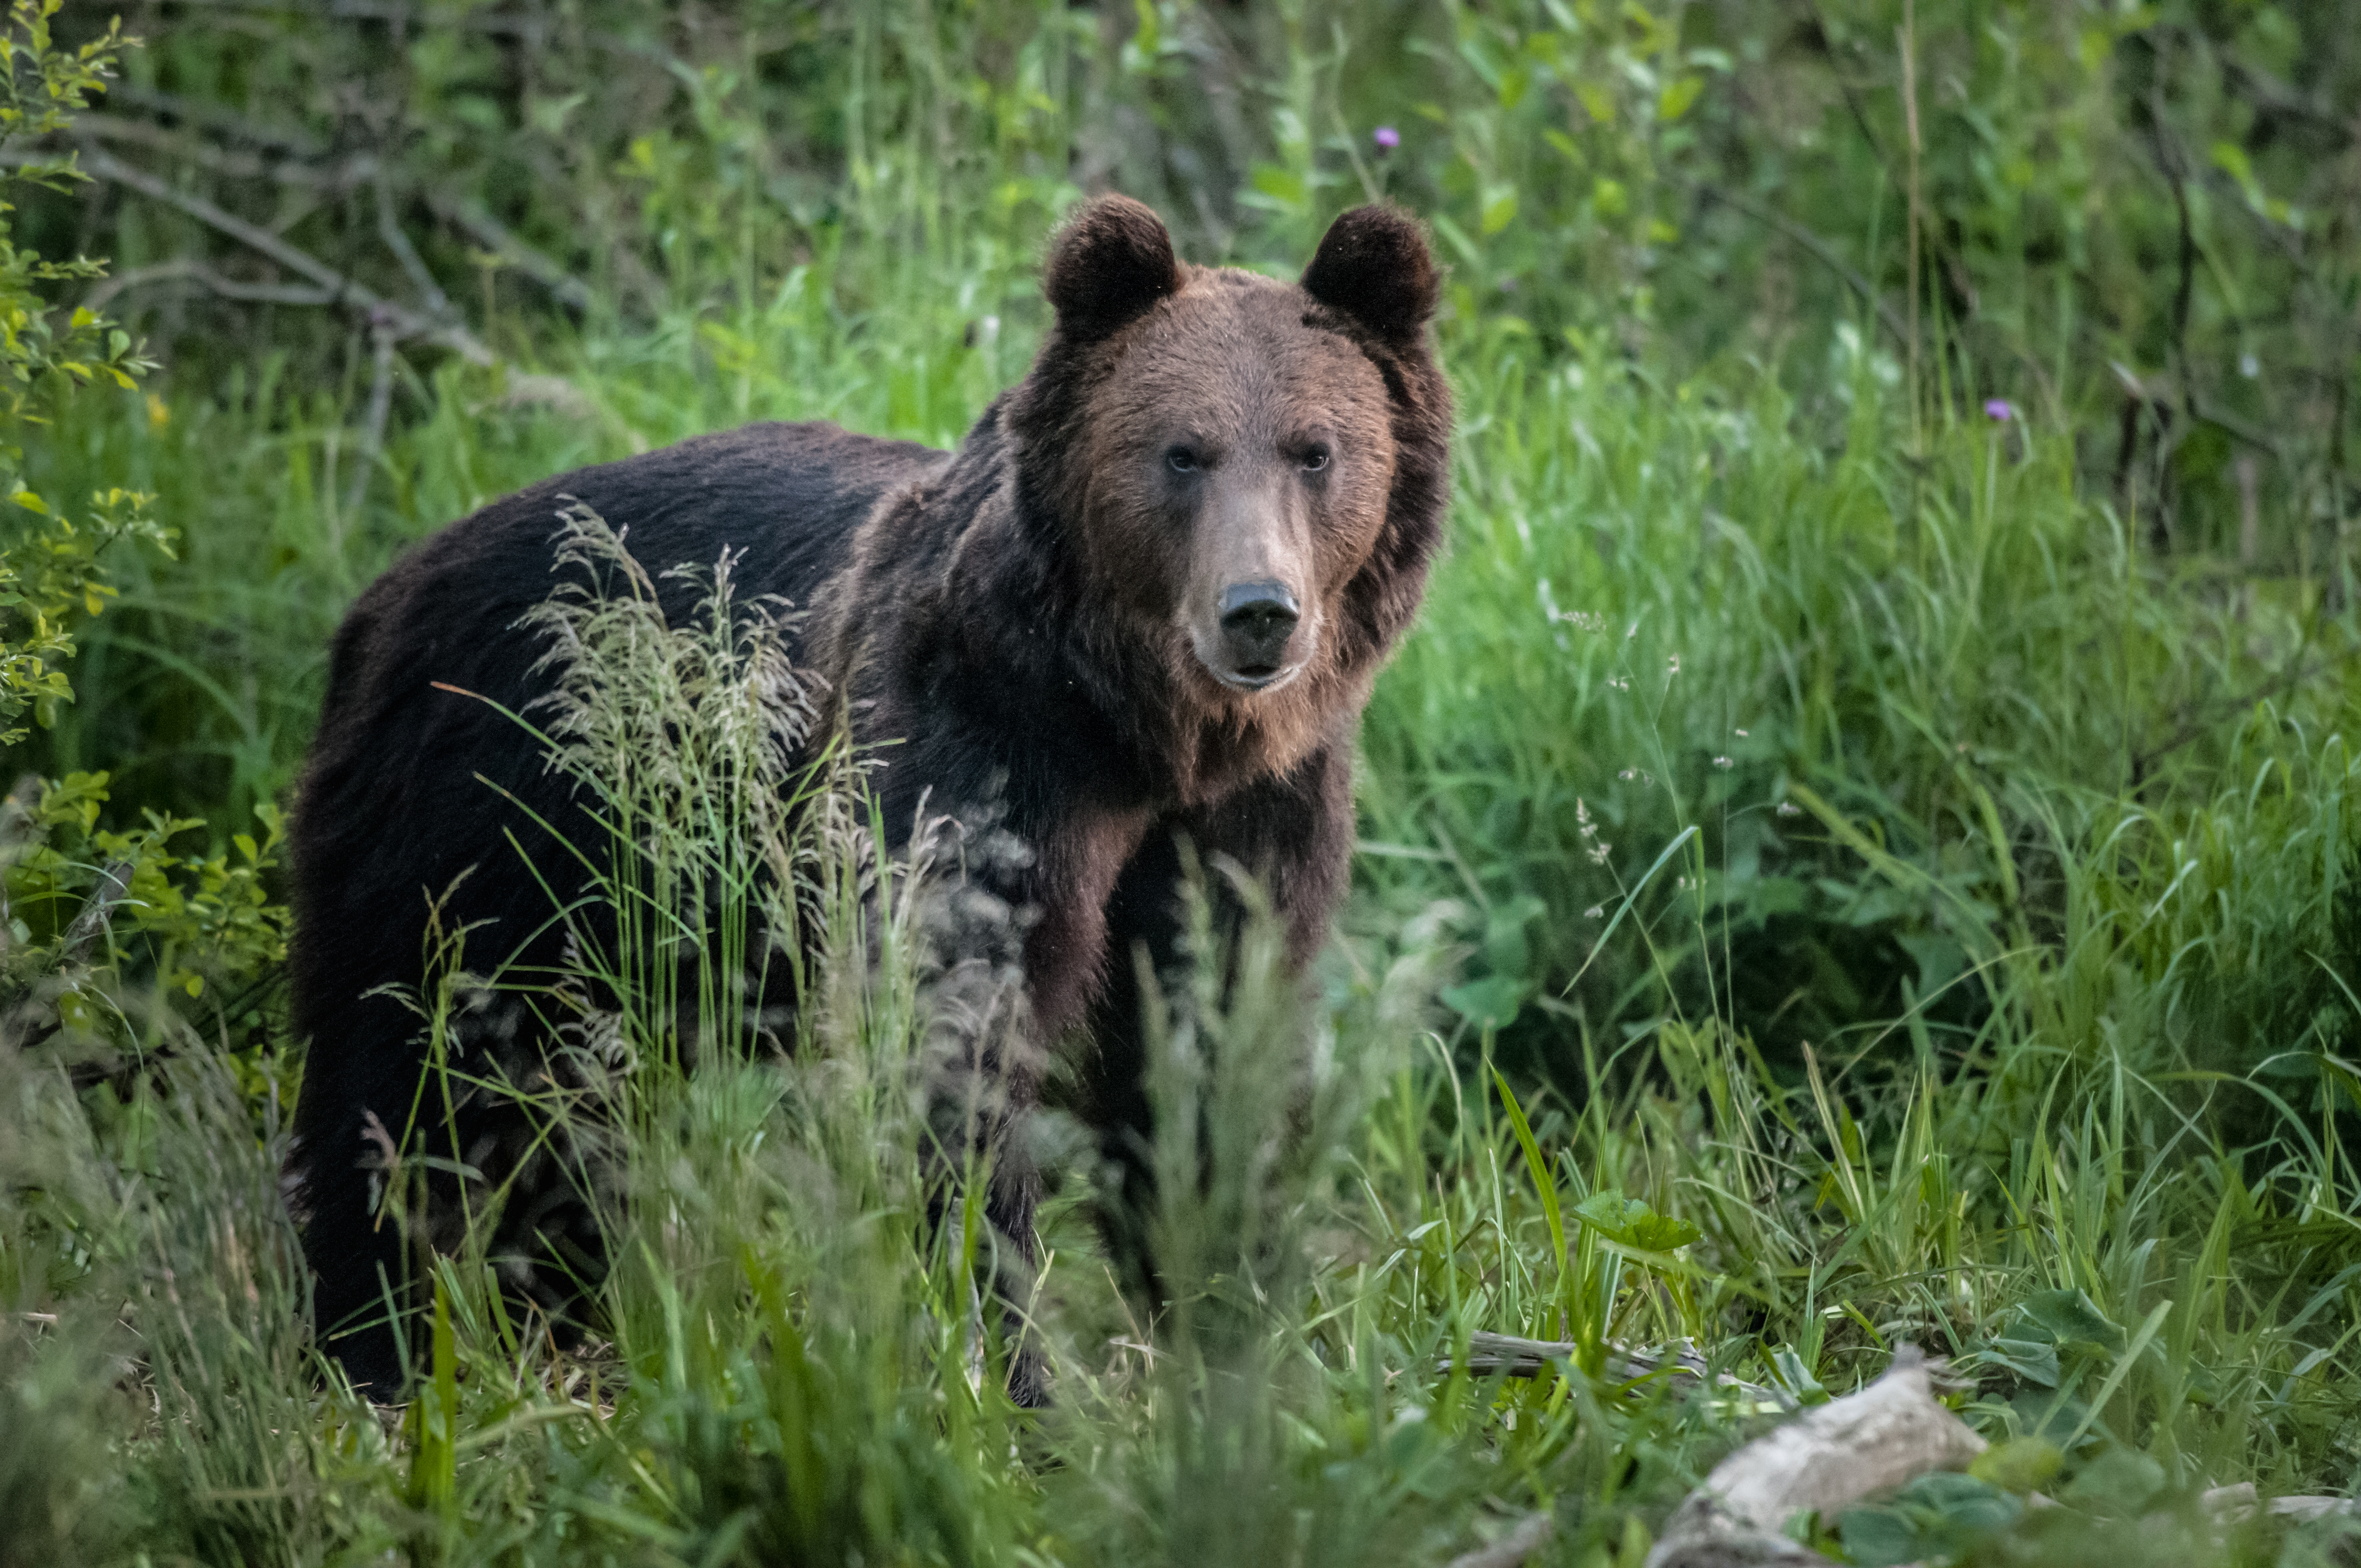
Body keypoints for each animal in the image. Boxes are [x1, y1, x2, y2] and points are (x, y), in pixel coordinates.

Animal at [285, 199, 1445, 1398]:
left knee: (559, 1113)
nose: (1257, 611)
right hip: (487, 822)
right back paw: (376, 1343)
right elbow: (949, 1039)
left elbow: (1209, 1036)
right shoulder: (970, 758)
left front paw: (1229, 1314)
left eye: (1315, 448)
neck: (1139, 735)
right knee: (407, 1077)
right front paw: (1006, 1365)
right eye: (1182, 451)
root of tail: (385, 591)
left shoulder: (1254, 810)